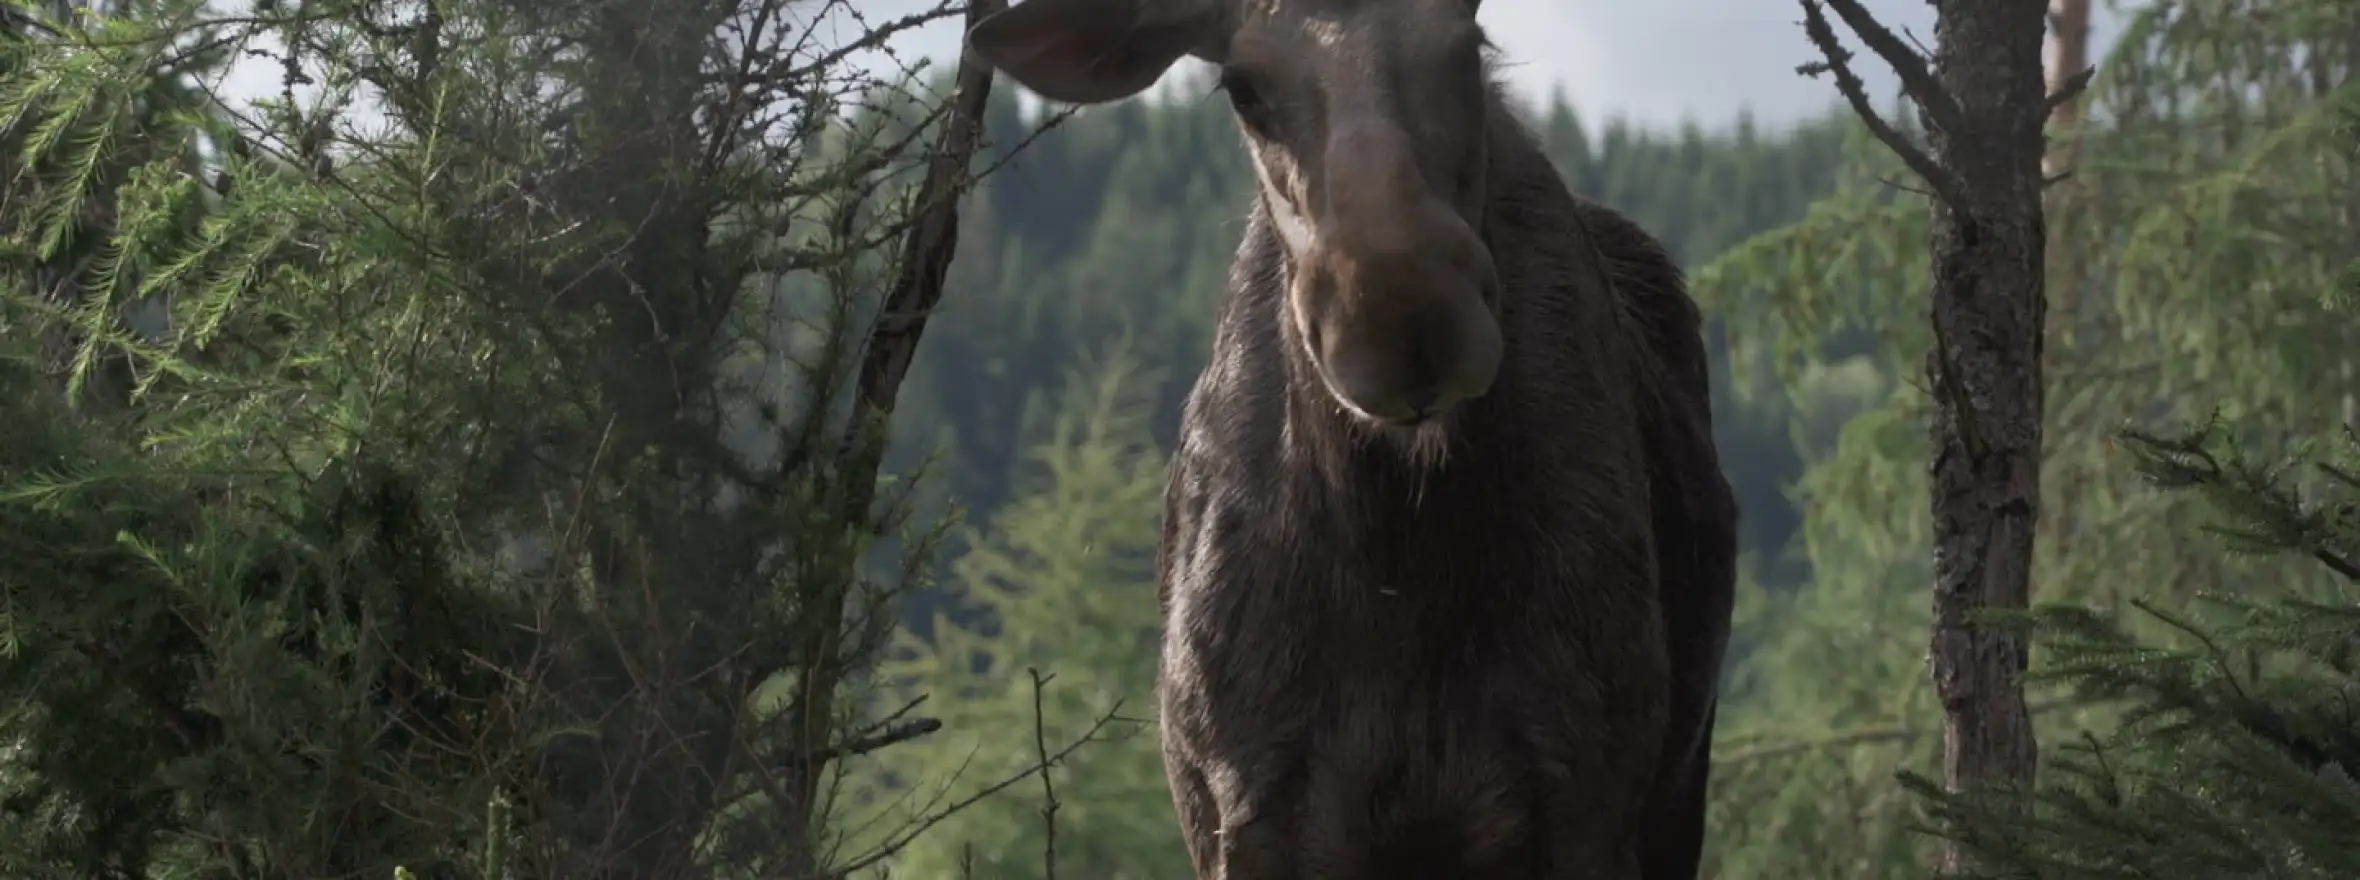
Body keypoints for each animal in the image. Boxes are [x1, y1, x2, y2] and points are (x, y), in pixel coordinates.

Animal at [965, 0, 1740, 876]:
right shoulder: (1254, 809)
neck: (1401, 562)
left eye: (1468, 43)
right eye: (1243, 86)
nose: (1401, 314)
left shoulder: (1580, 800)